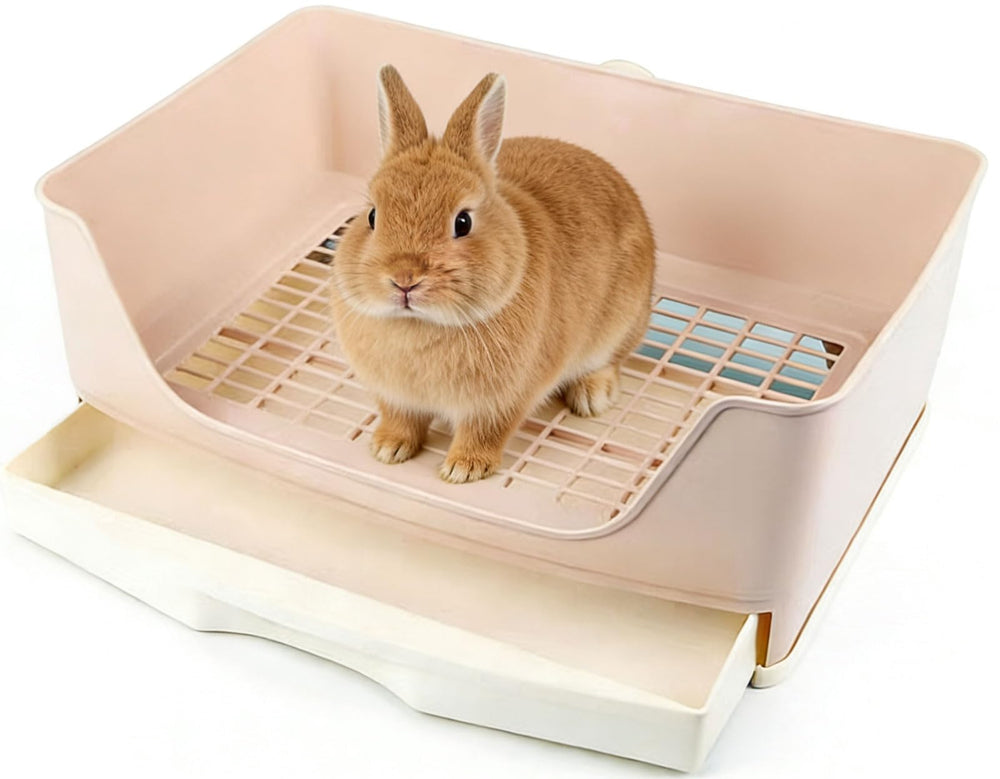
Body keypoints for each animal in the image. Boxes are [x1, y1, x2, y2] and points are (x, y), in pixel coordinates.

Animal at [330, 65, 655, 483]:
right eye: (372, 216)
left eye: (463, 222)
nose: (404, 278)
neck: (420, 325)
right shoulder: (396, 397)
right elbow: (401, 419)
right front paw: (388, 448)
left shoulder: (502, 401)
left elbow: (485, 432)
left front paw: (463, 470)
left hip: (621, 324)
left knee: (611, 359)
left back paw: (591, 397)